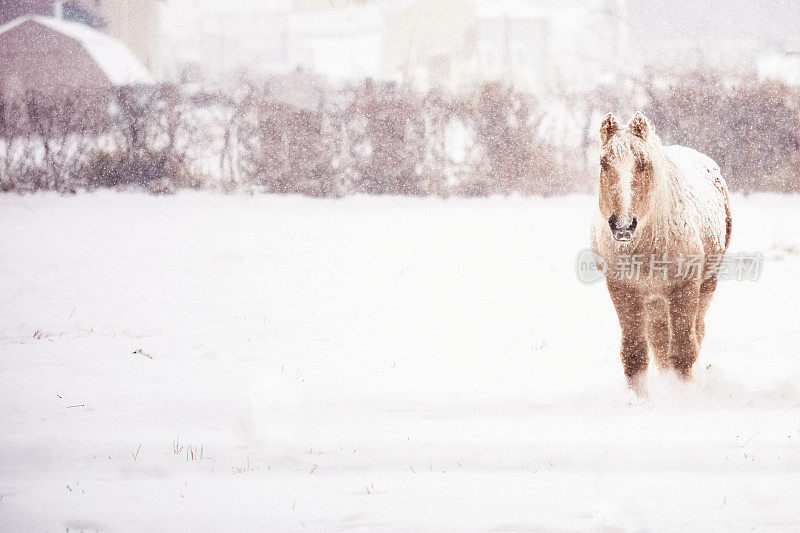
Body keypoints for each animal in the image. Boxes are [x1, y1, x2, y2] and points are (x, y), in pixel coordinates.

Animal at [592, 112, 736, 392]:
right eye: (604, 163)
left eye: (643, 164)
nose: (623, 225)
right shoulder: (623, 290)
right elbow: (635, 355)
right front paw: (638, 399)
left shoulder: (685, 288)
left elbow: (683, 352)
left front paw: (683, 396)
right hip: (655, 300)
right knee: (659, 342)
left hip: (705, 285)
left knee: (696, 333)